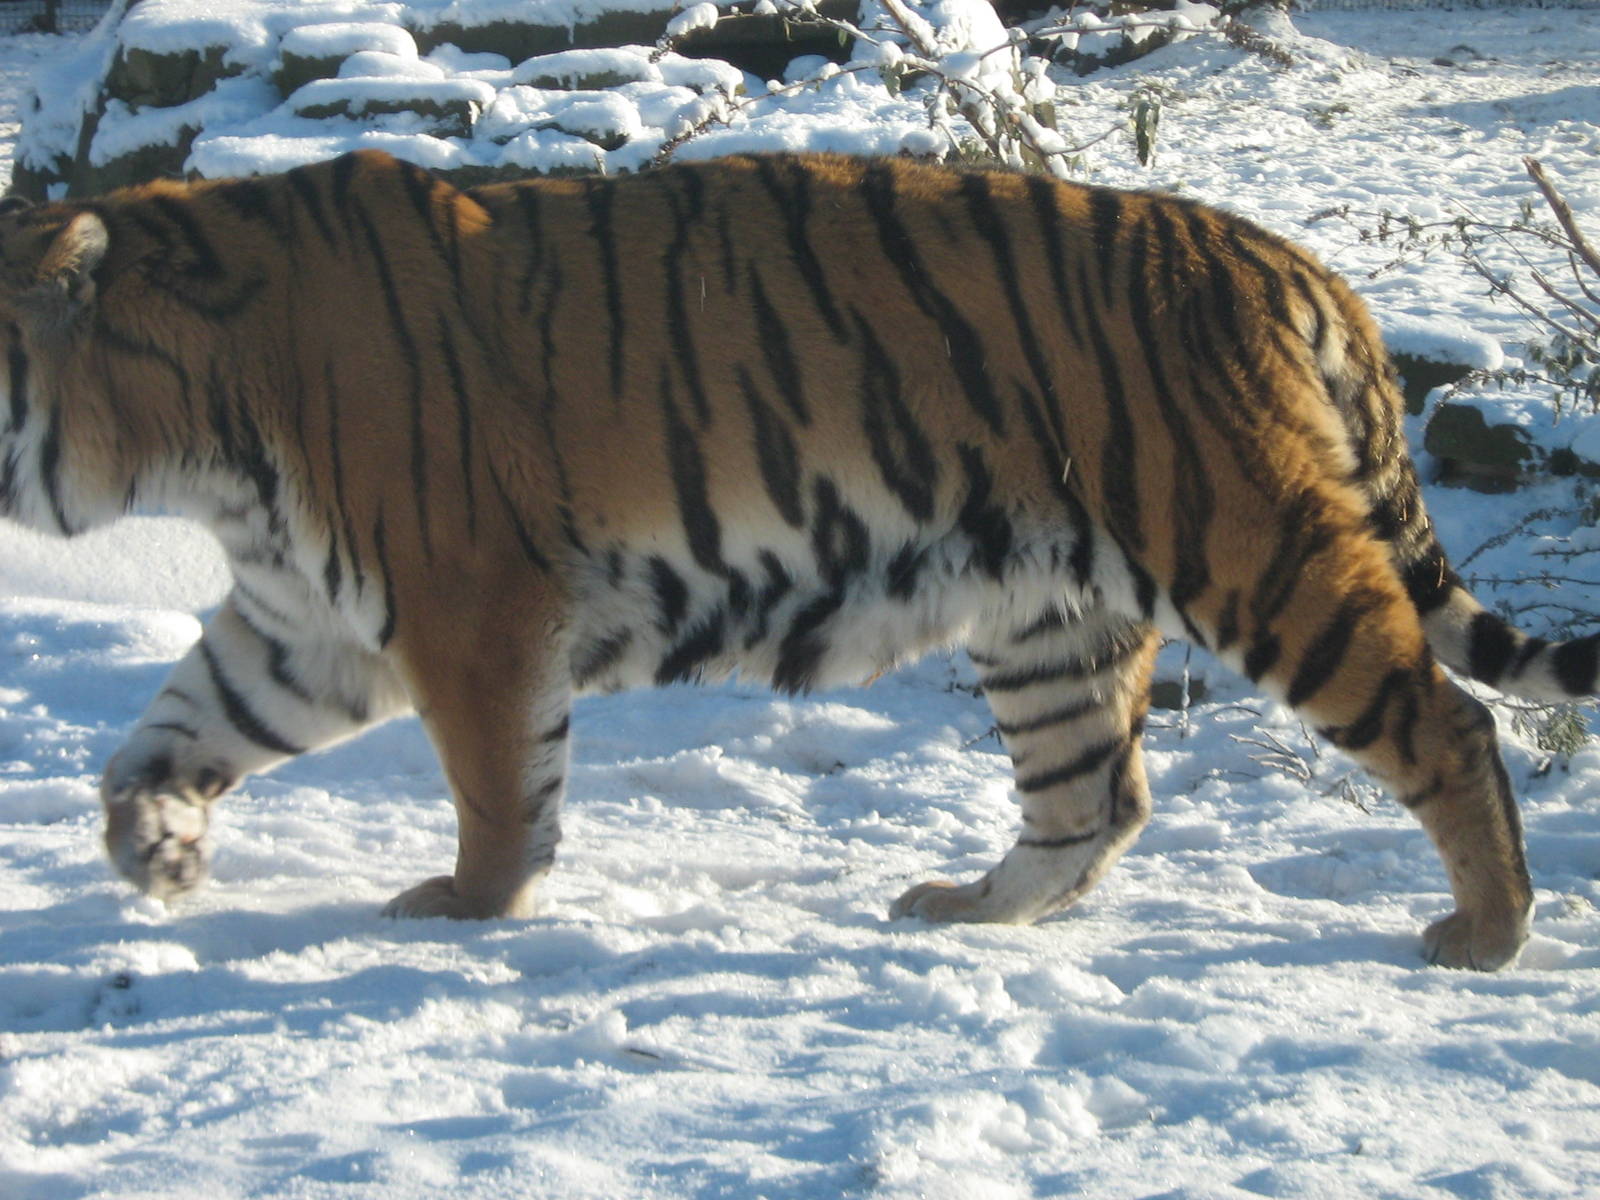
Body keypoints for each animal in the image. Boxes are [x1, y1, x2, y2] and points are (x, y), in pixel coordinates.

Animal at [1, 150, 1593, 971]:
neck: (190, 435)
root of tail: (1287, 261)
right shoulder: (301, 620)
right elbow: (170, 727)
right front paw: (153, 846)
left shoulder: (468, 605)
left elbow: (499, 788)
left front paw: (470, 905)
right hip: (1048, 609)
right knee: (1096, 795)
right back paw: (967, 906)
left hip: (1245, 546)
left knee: (1445, 722)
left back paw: (1486, 931)